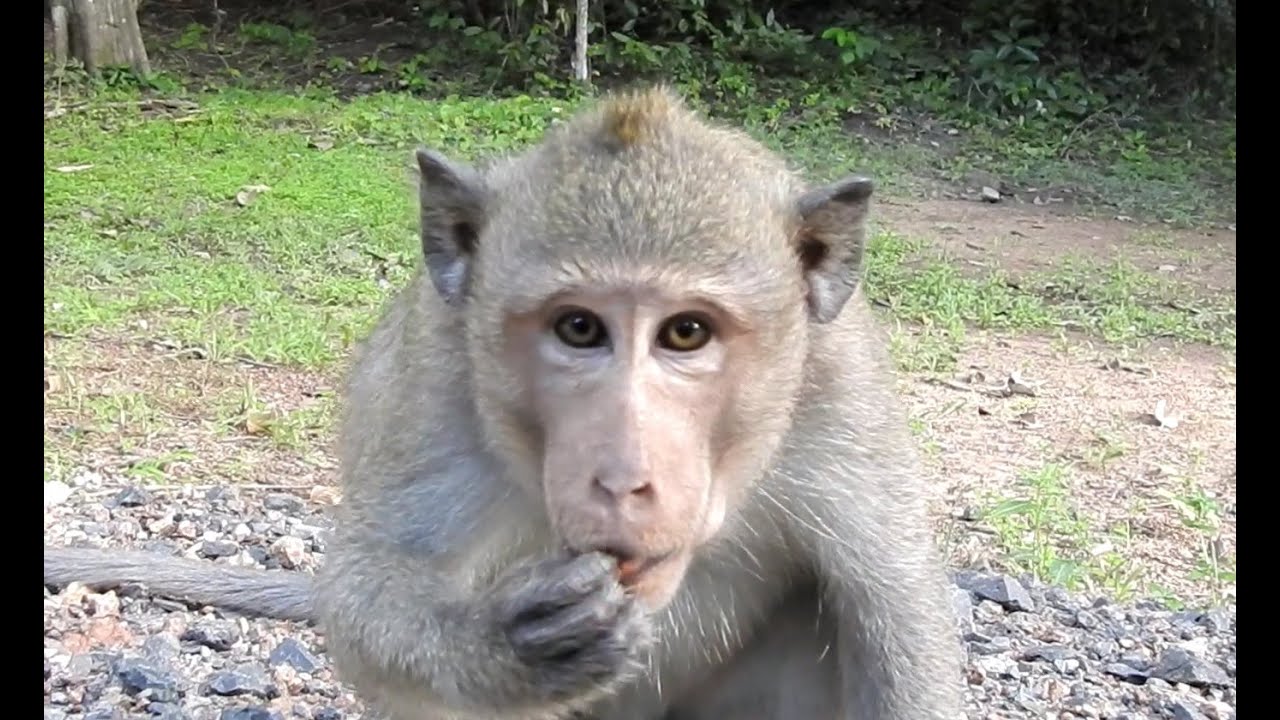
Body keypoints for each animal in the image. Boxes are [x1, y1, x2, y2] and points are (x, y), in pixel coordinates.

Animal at [45, 85, 964, 720]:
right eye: (579, 328)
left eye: (687, 333)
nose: (622, 479)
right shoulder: (435, 386)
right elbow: (364, 591)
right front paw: (504, 645)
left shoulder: (842, 389)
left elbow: (897, 605)